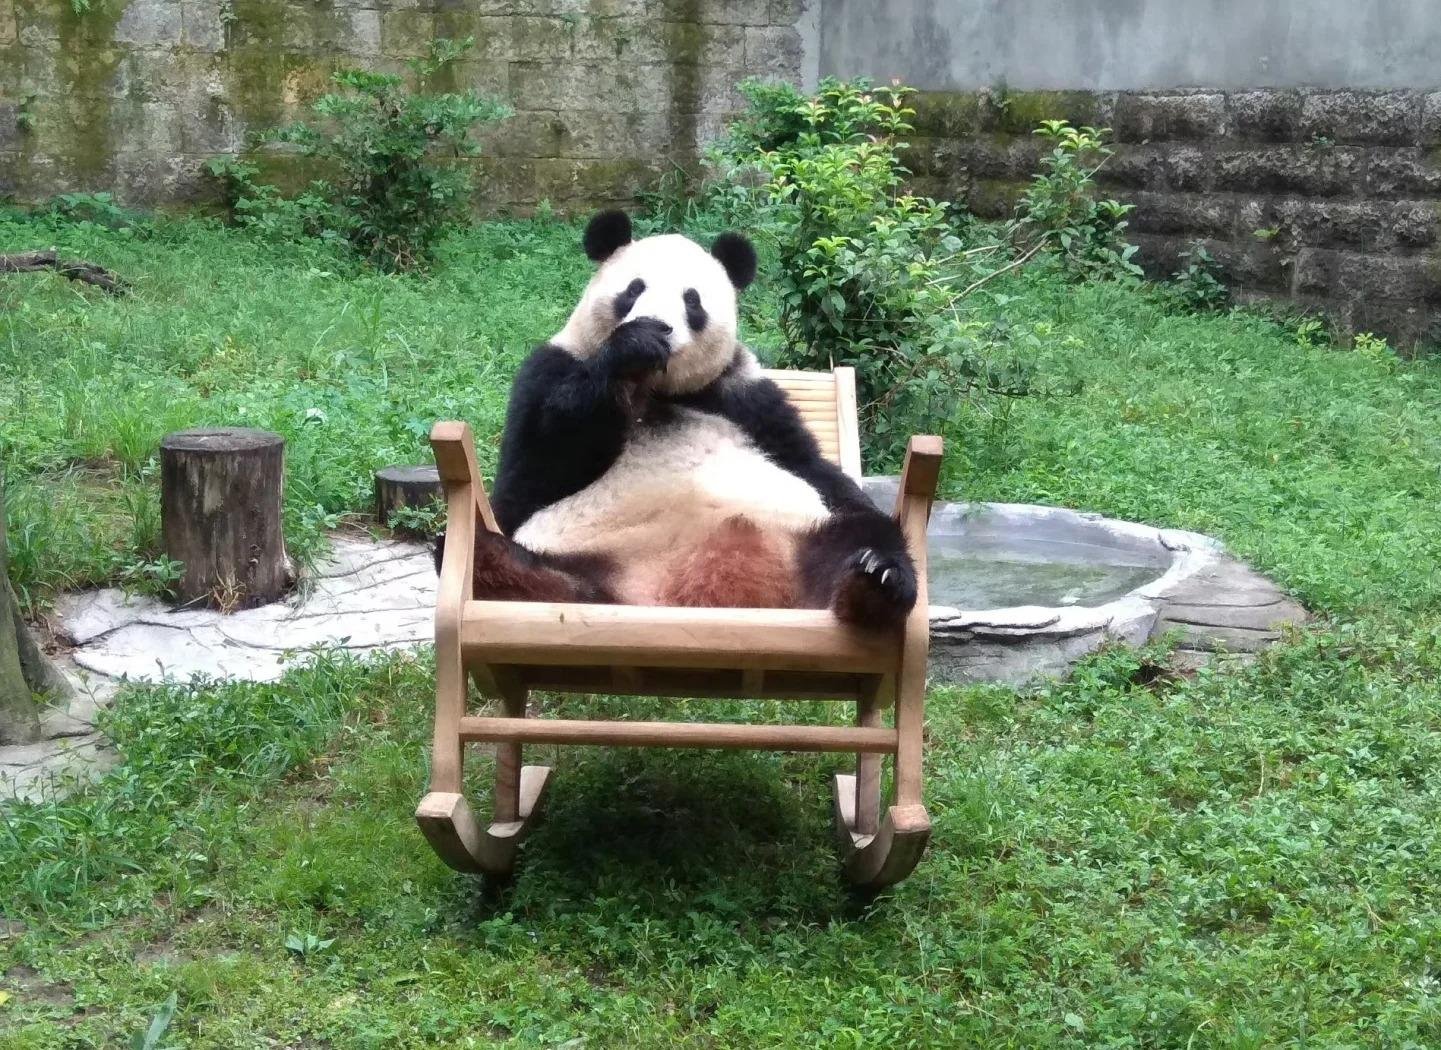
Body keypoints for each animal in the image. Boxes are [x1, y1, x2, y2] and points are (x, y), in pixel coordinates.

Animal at [456, 209, 918, 629]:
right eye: (634, 289)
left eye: (692, 300)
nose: (660, 327)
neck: (659, 388)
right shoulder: (550, 368)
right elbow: (533, 471)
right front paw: (633, 346)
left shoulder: (745, 399)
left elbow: (811, 464)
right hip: (581, 559)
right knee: (535, 571)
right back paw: (500, 566)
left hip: (806, 534)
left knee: (863, 533)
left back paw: (875, 586)